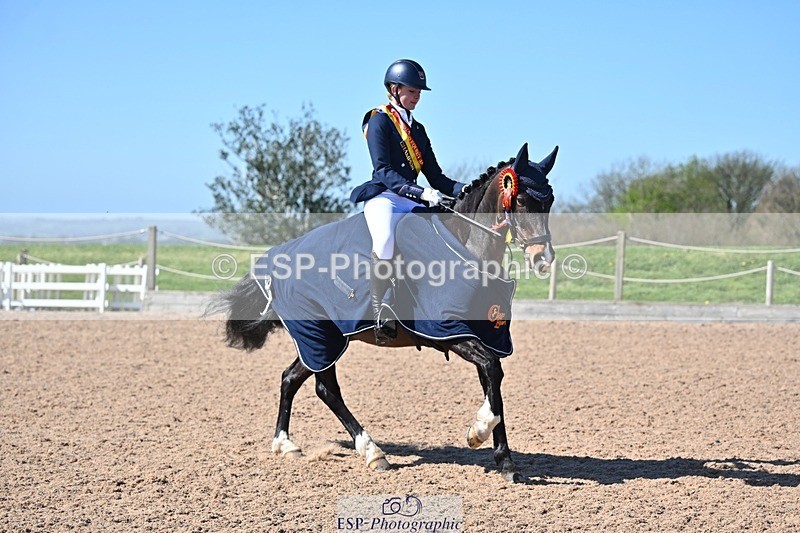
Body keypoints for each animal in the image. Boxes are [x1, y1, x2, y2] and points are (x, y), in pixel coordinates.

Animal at [214, 142, 558, 483]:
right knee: (326, 389)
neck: (465, 245)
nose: (543, 258)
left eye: (550, 201)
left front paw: (504, 459)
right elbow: (492, 372)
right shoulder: (447, 331)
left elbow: (493, 382)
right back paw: (372, 452)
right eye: (521, 199)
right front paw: (479, 432)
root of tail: (278, 256)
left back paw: (286, 445)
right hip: (320, 335)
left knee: (291, 378)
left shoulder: (484, 334)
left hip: (321, 339)